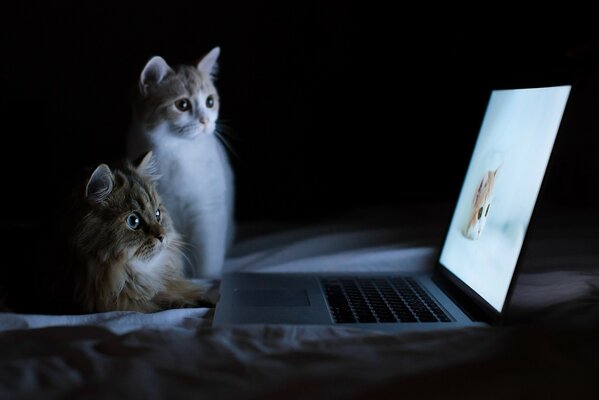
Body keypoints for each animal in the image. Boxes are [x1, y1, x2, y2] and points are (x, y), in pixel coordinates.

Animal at [127, 47, 234, 278]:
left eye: (210, 102)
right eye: (182, 104)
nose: (205, 121)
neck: (179, 152)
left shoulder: (208, 210)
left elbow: (207, 258)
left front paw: (208, 282)